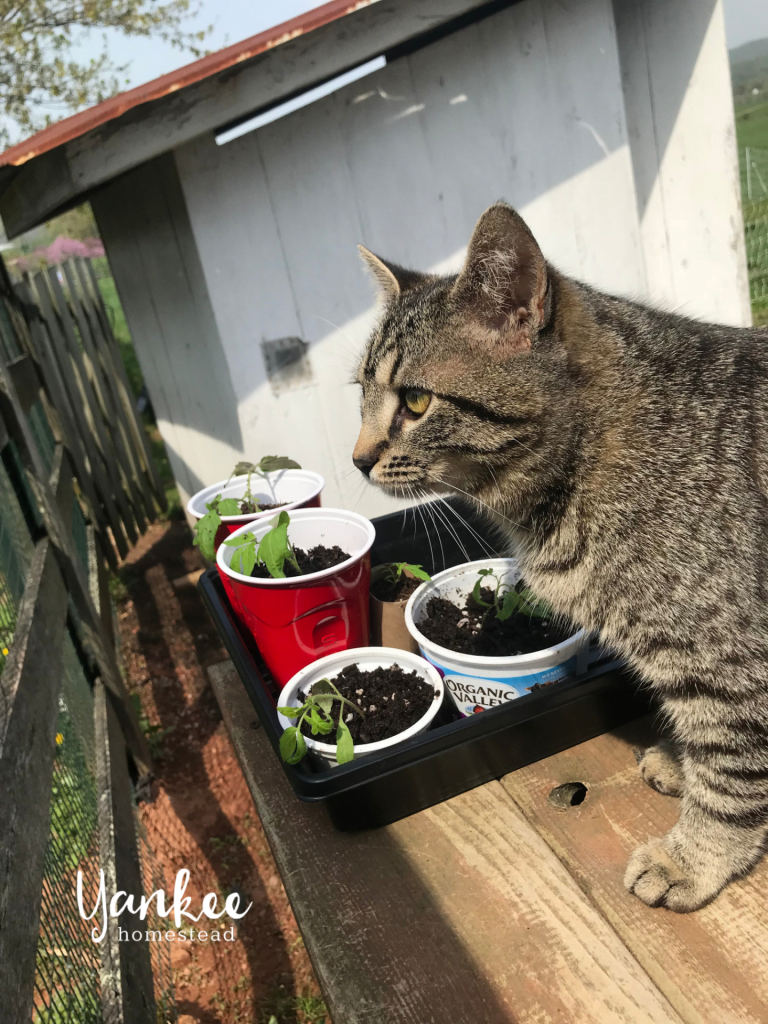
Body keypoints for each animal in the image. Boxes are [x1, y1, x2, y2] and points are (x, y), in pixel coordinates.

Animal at [354, 201, 768, 913]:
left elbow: (731, 778)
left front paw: (693, 857)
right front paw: (681, 765)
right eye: (360, 391)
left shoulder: (735, 664)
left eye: (415, 401)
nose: (356, 459)